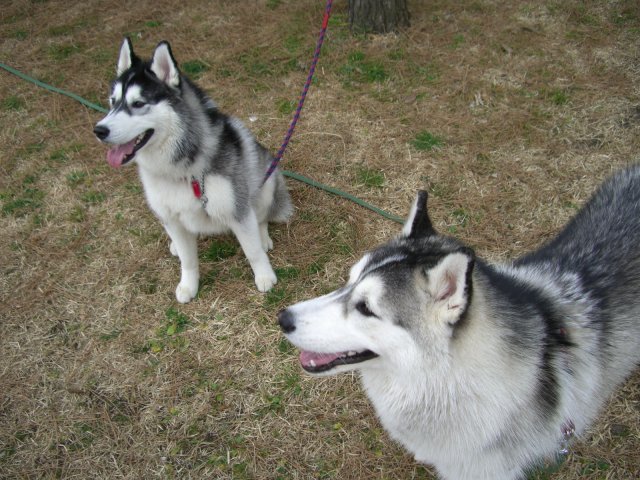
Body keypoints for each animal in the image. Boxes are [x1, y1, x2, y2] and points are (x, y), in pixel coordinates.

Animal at [93, 38, 292, 303]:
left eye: (138, 104)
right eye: (112, 102)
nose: (99, 130)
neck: (180, 169)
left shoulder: (236, 208)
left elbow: (252, 251)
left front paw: (264, 276)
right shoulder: (170, 217)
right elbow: (188, 261)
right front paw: (188, 285)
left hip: (267, 182)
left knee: (261, 218)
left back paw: (263, 236)